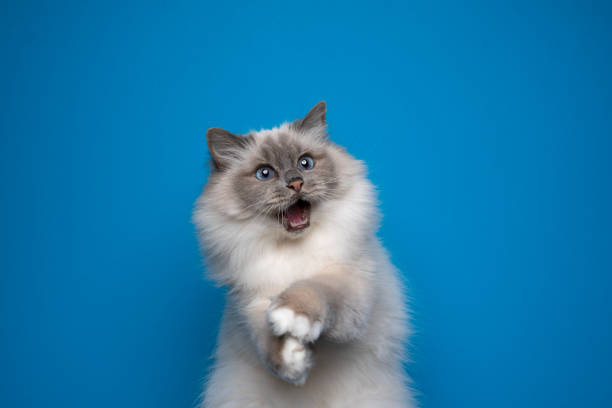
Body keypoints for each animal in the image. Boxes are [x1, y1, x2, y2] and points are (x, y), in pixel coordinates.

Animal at [194, 103, 418, 408]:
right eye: (265, 174)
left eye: (305, 163)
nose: (296, 183)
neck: (294, 252)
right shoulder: (253, 303)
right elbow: (267, 342)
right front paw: (292, 360)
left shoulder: (346, 288)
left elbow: (313, 288)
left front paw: (293, 316)